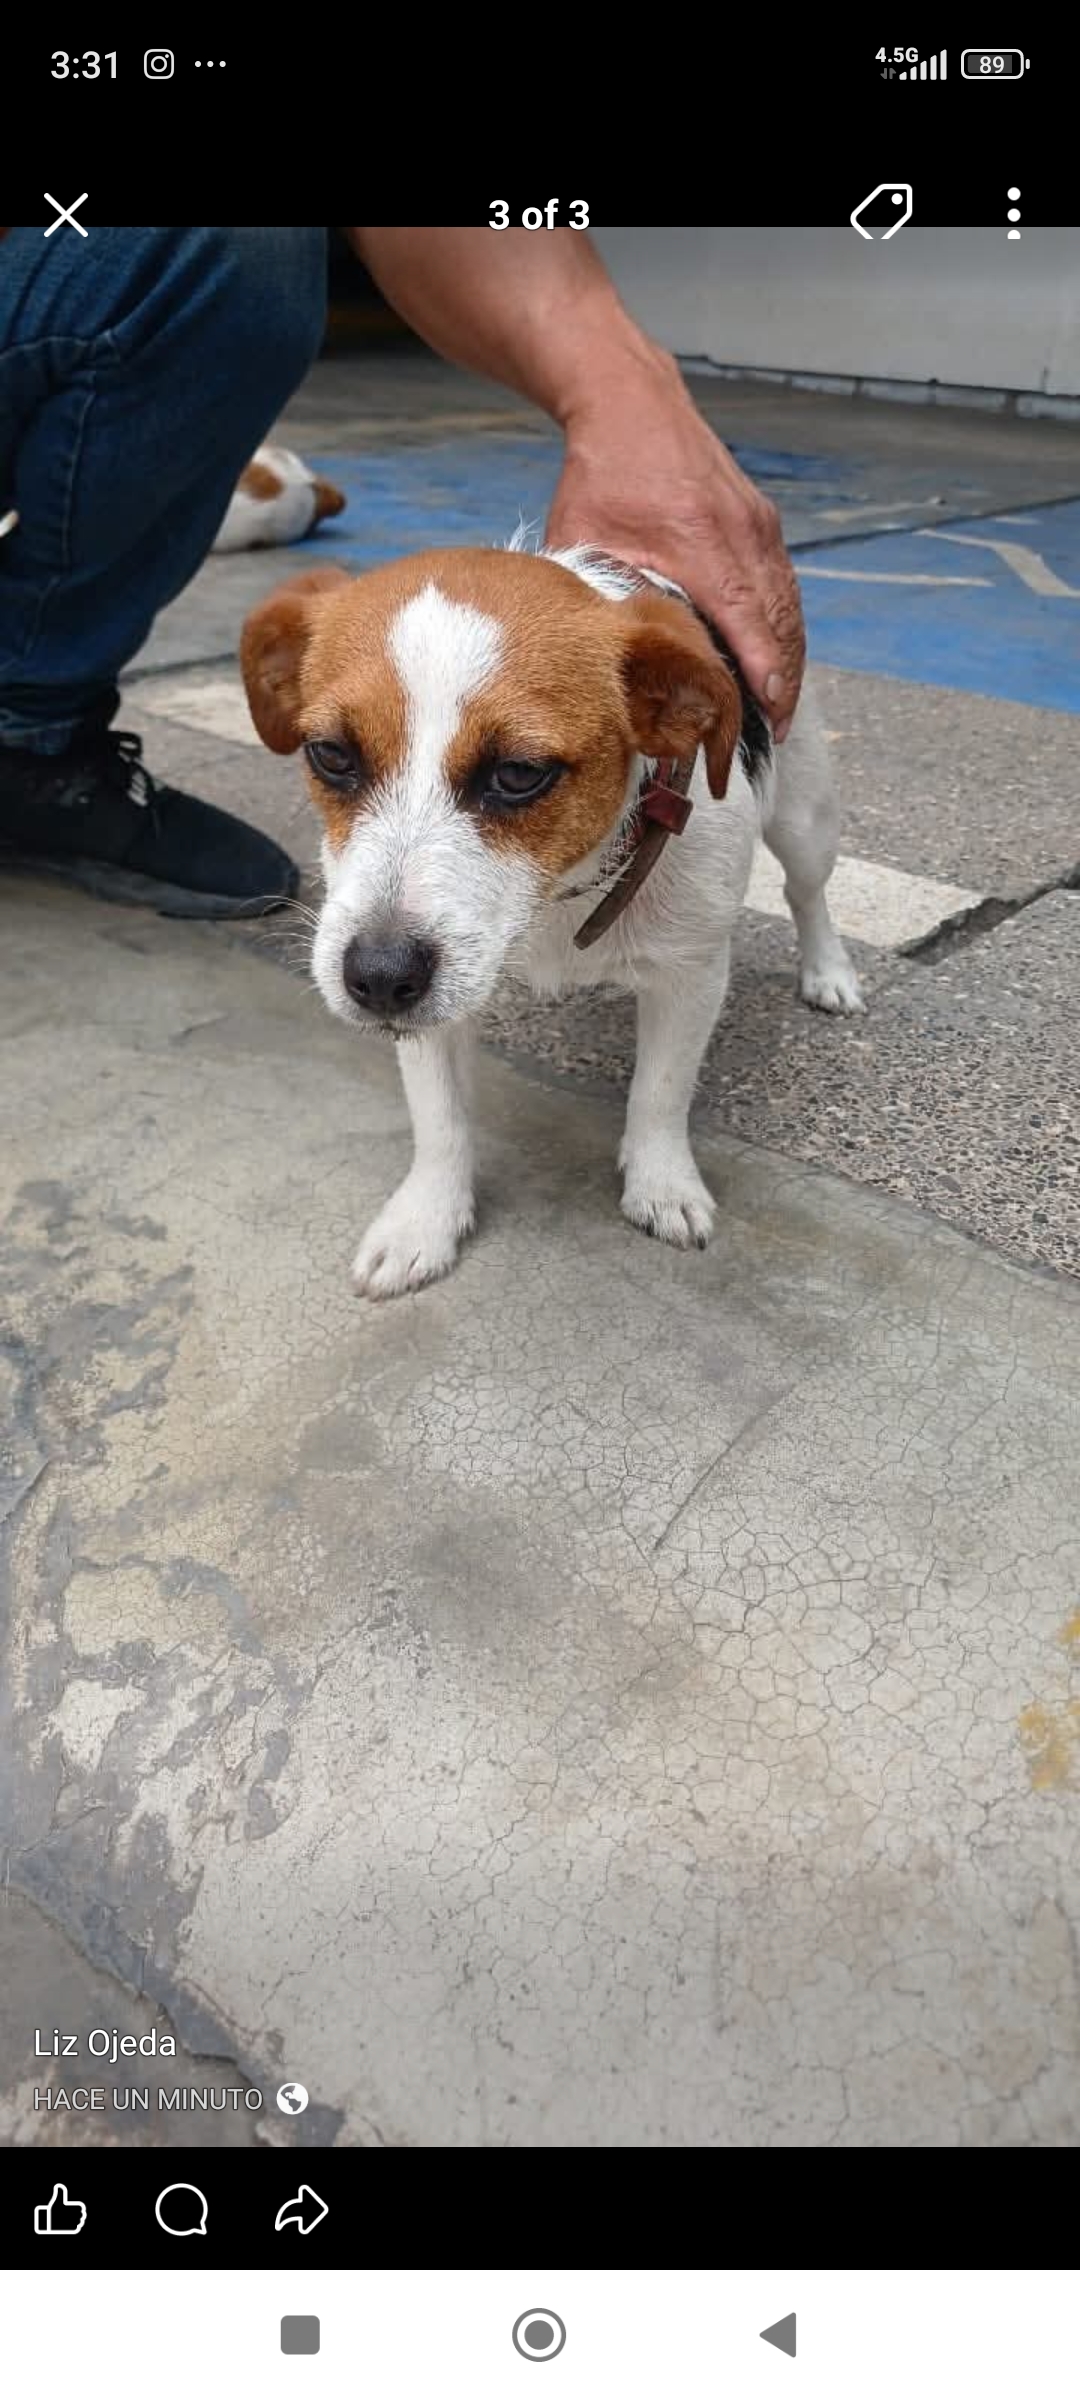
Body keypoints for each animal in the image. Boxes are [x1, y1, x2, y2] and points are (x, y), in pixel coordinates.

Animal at [241, 543, 863, 1298]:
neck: (562, 892)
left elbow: (660, 1094)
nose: (378, 979)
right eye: (331, 755)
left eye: (518, 772)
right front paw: (426, 1219)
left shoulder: (690, 976)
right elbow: (440, 1120)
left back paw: (829, 972)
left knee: (809, 893)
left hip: (806, 815)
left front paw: (661, 1183)